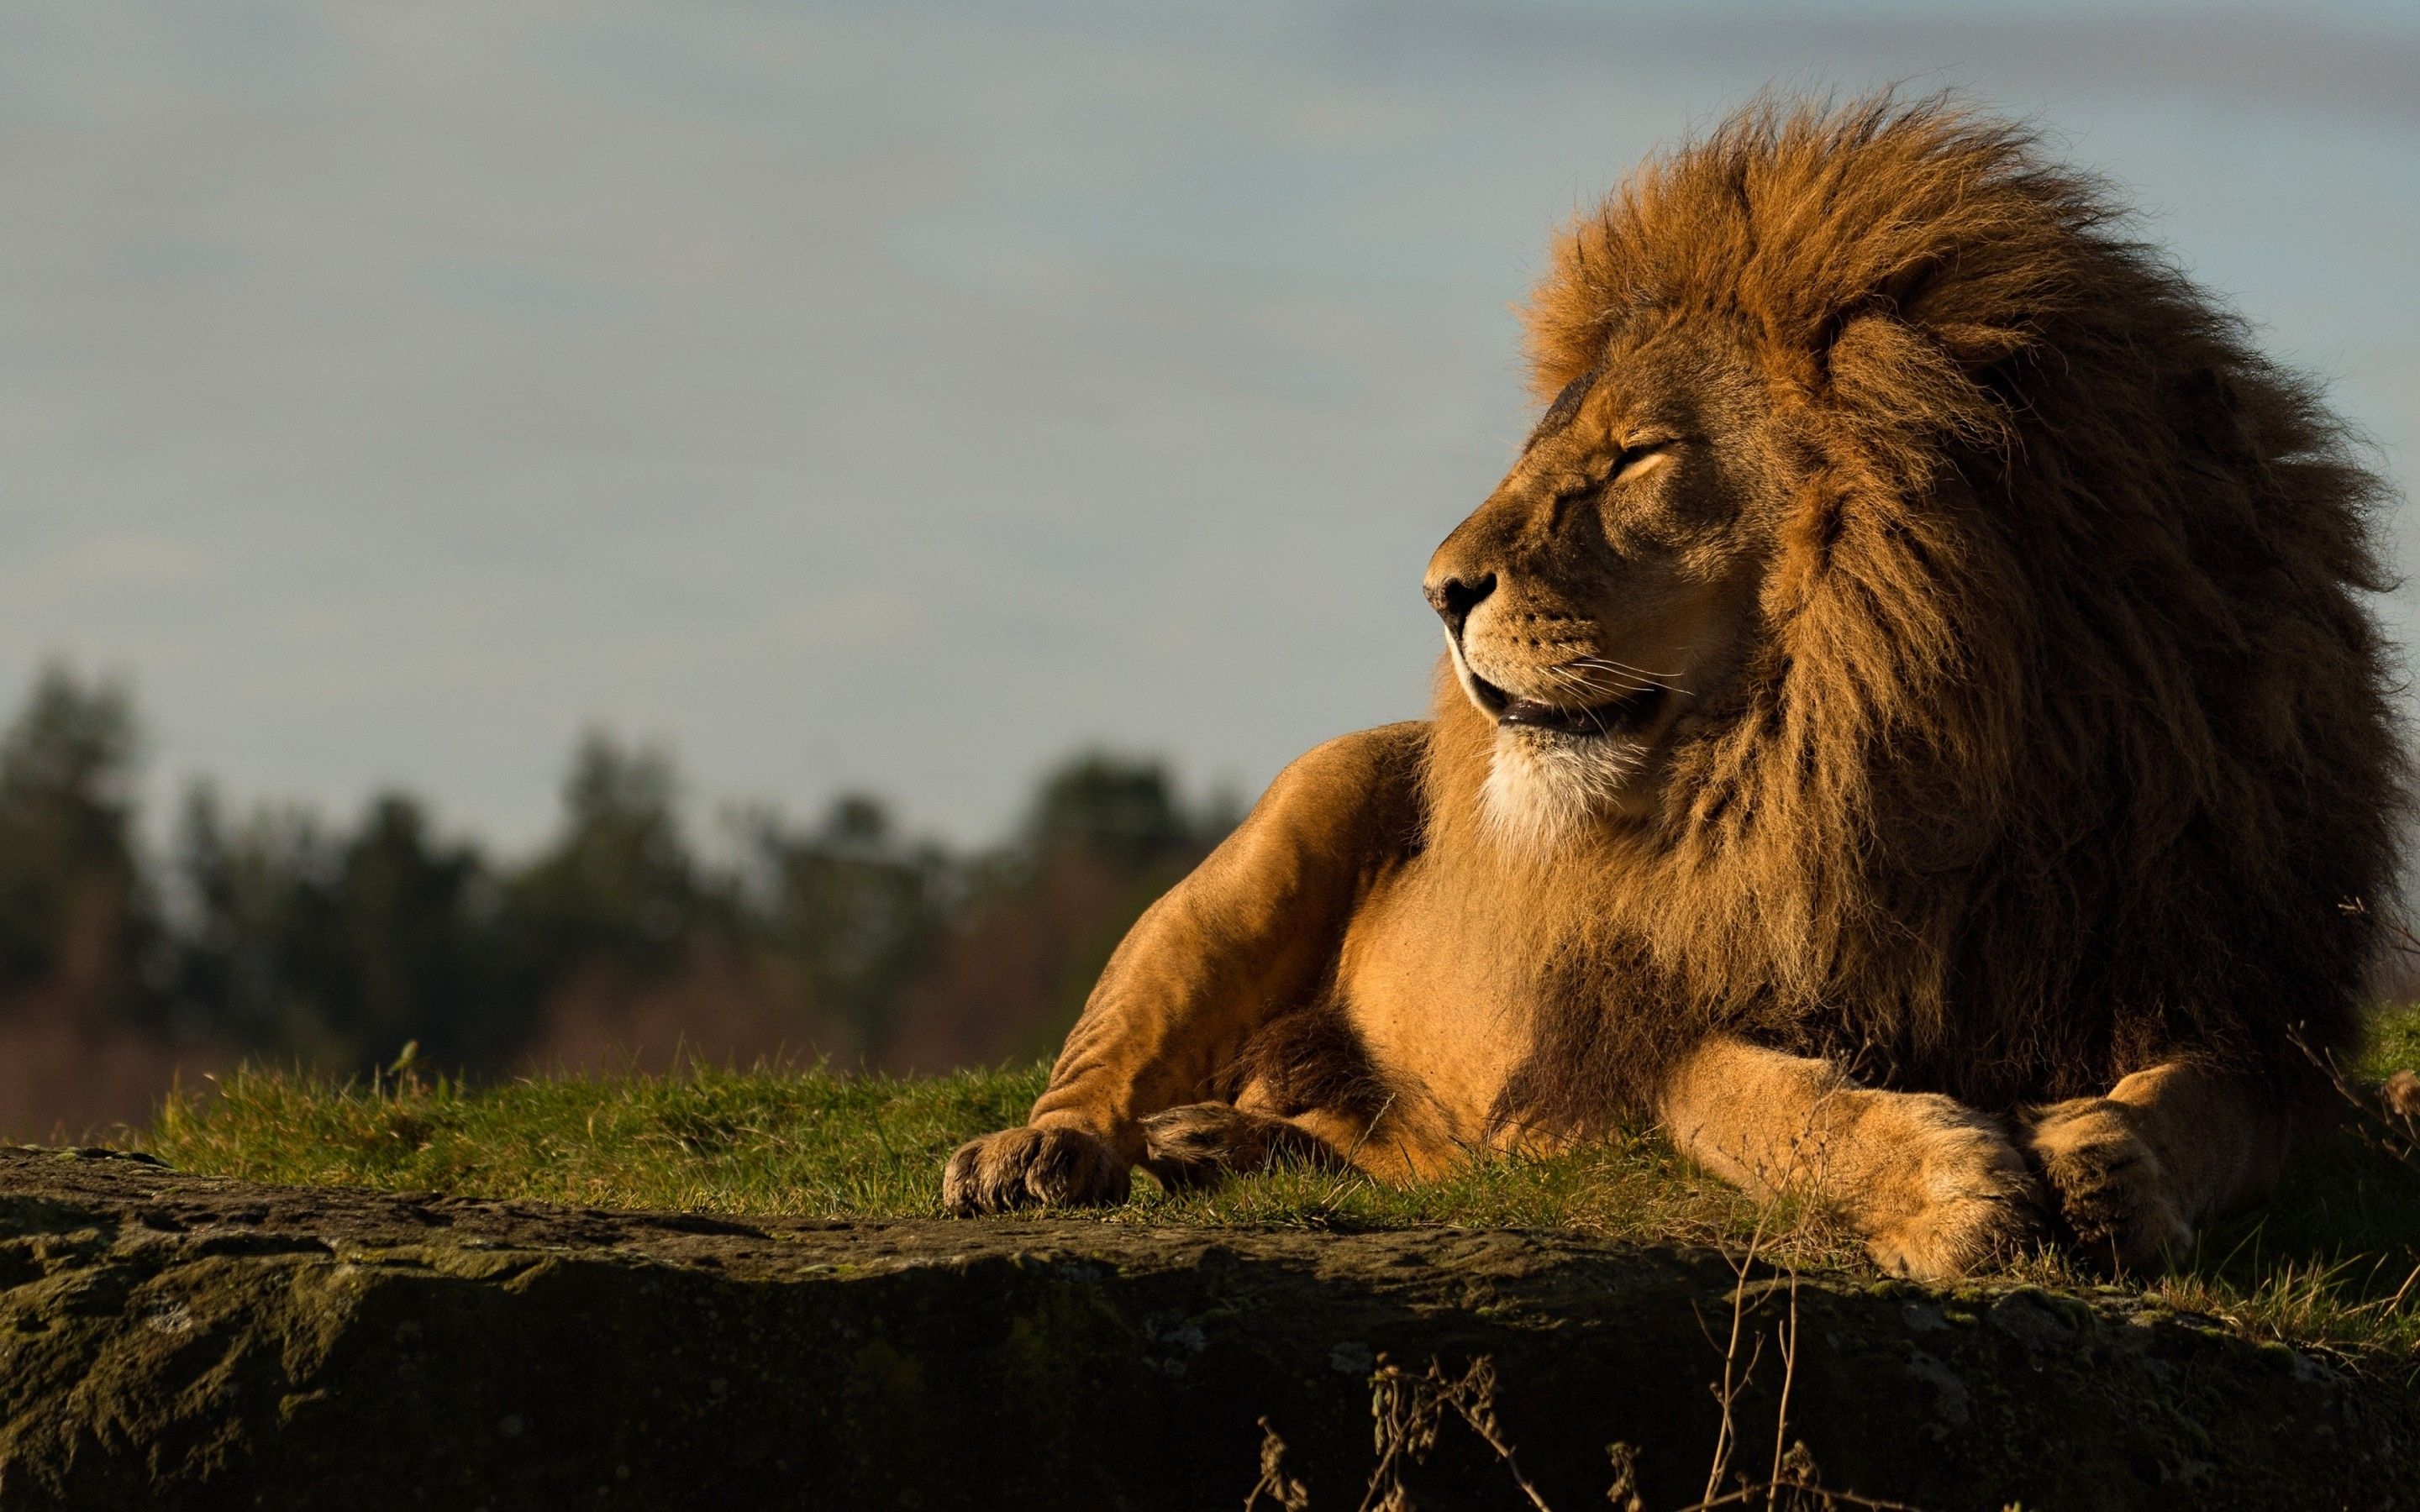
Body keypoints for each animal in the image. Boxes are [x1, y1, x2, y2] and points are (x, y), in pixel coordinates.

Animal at [941, 94, 2409, 1280]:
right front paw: (1947, 1187)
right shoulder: (1644, 1029)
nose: (1437, 590)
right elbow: (1756, 1101)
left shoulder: (2242, 993)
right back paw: (1045, 1155)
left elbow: (2213, 1107)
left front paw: (2112, 1168)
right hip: (1268, 849)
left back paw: (1223, 1145)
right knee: (1106, 1059)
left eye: (1633, 459)